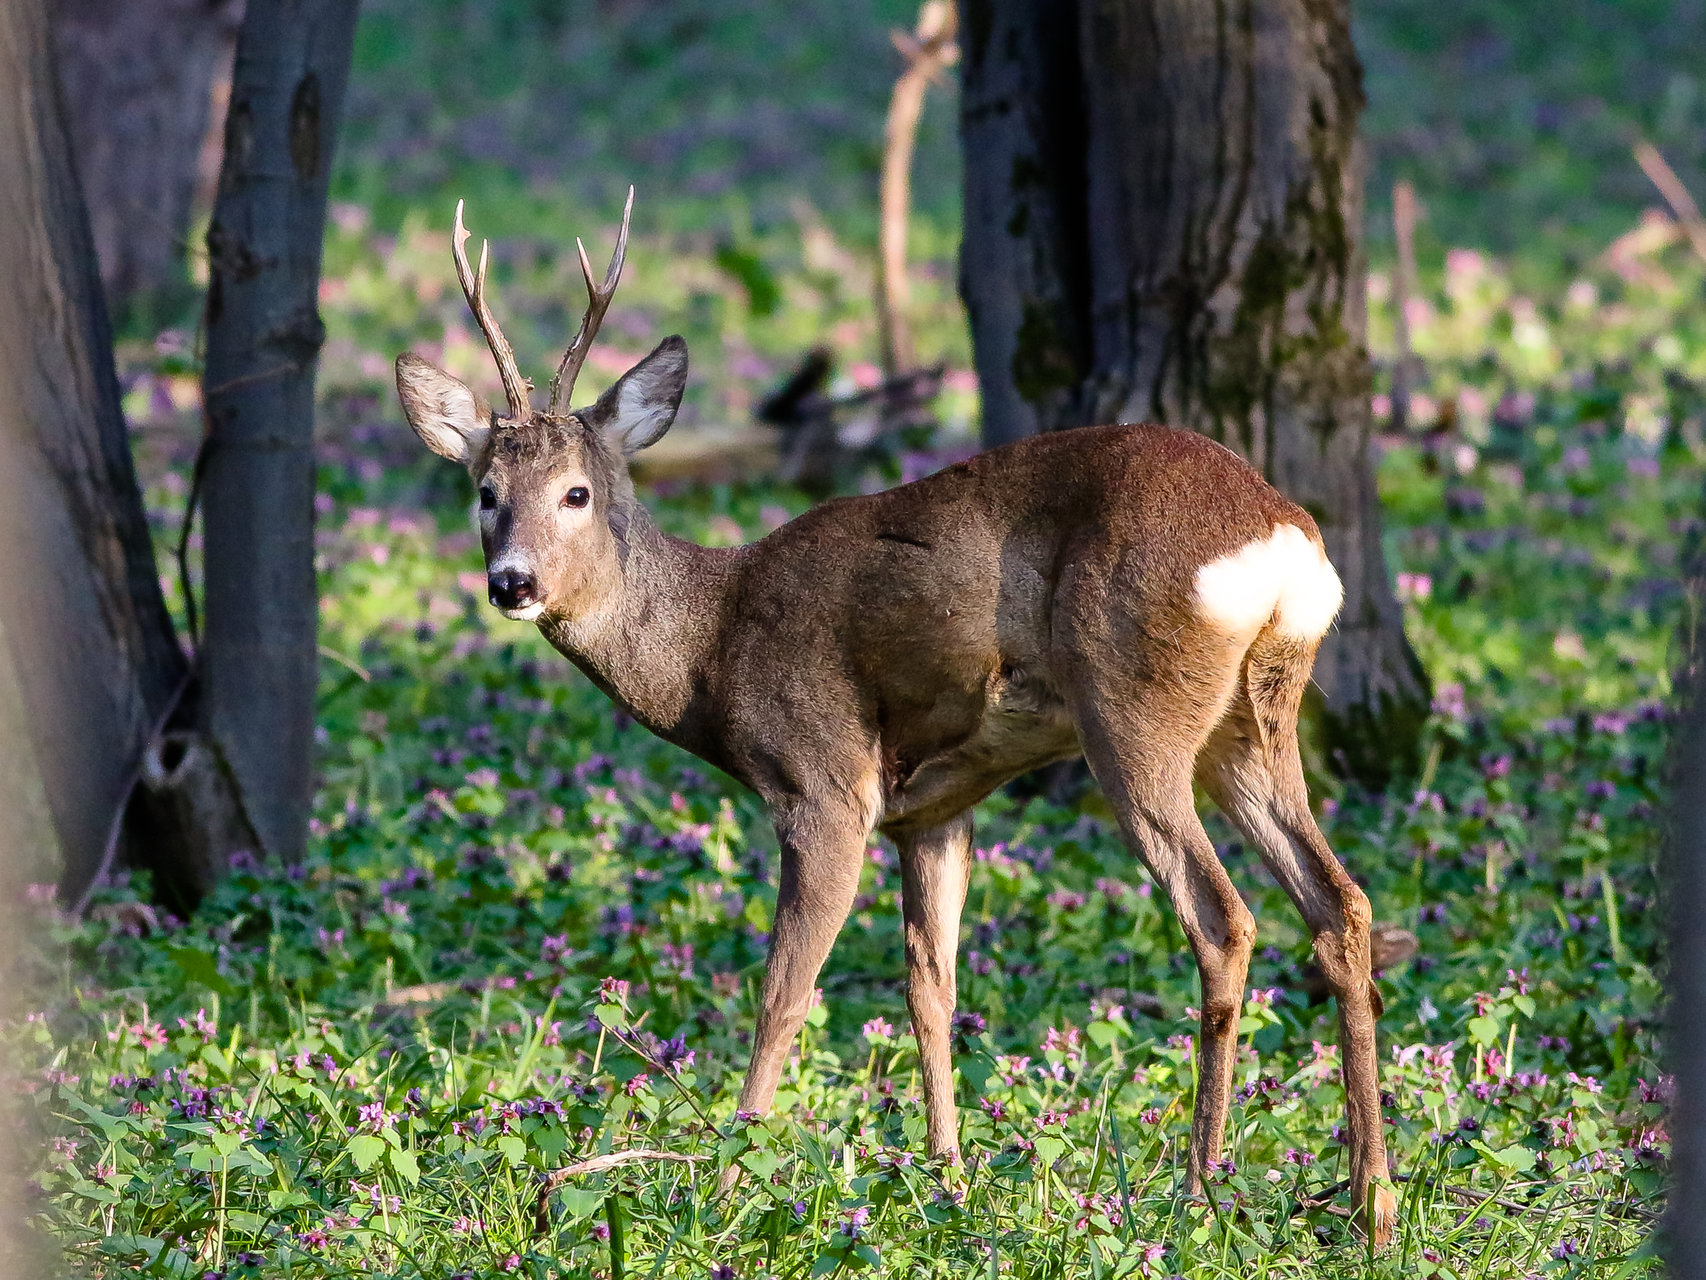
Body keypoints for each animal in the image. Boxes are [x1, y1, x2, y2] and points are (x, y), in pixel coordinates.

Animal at [395, 195, 1398, 1249]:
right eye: (485, 493)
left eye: (577, 492)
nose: (512, 583)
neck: (713, 648)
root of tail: (1282, 539)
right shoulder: (934, 807)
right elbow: (931, 983)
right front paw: (948, 1175)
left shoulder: (823, 781)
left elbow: (785, 992)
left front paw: (726, 1179)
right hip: (1253, 721)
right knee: (1339, 903)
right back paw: (1369, 1197)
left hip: (1134, 711)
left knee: (1223, 918)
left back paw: (1200, 1188)